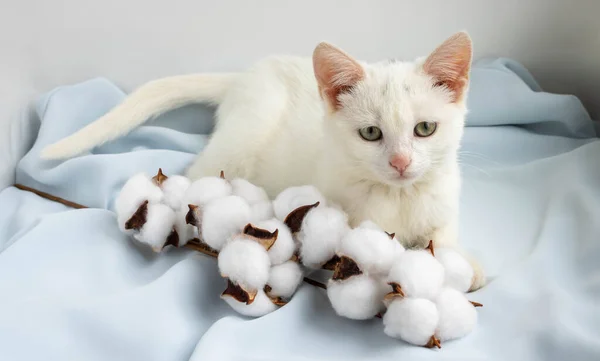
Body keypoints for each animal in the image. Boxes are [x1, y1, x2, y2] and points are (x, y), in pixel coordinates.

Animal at [42, 31, 482, 290]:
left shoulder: (444, 200)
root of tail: (245, 76)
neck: (399, 196)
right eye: (371, 134)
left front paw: (463, 264)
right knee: (198, 175)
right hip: (240, 142)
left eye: (425, 128)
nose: (401, 163)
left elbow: (442, 235)